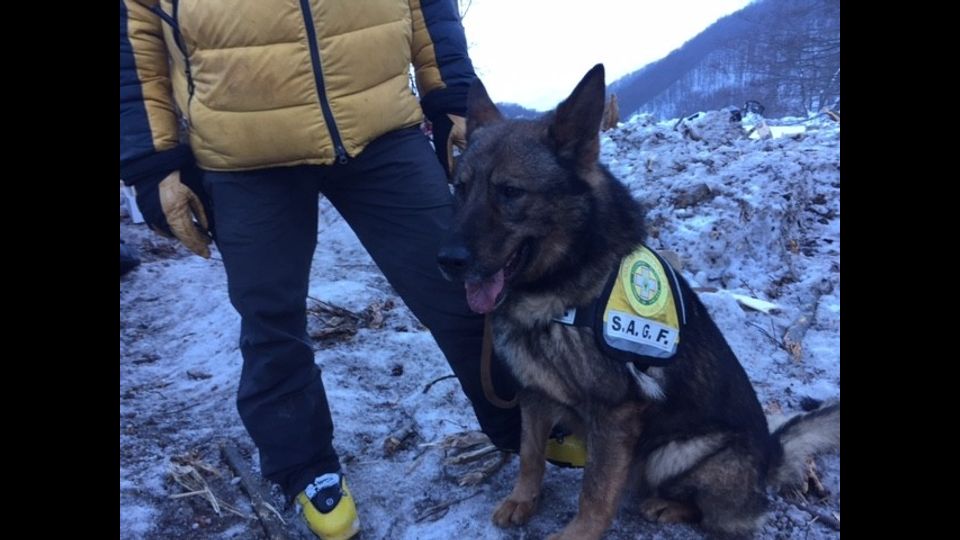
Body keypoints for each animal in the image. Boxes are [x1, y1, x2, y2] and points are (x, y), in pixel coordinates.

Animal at [436, 64, 840, 540]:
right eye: (460, 189)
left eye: (511, 192)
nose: (446, 261)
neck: (560, 289)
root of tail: (768, 460)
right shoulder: (533, 396)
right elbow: (531, 456)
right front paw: (523, 500)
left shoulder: (615, 415)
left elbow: (595, 491)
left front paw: (578, 534)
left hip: (677, 453)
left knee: (721, 515)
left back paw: (669, 506)